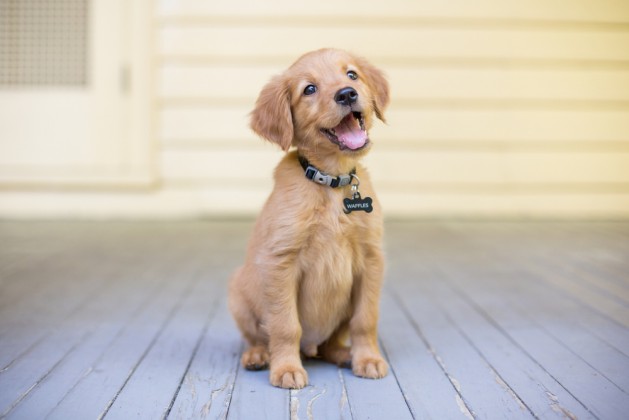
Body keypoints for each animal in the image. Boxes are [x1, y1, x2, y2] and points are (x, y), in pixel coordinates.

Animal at [228, 47, 390, 388]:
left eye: (352, 74)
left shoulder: (371, 259)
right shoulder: (281, 261)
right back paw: (258, 356)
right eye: (309, 89)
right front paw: (286, 369)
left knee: (328, 345)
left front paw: (368, 359)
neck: (331, 183)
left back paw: (343, 354)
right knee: (257, 338)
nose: (347, 93)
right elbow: (285, 325)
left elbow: (365, 319)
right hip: (238, 291)